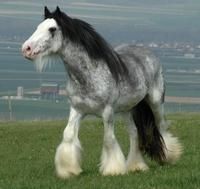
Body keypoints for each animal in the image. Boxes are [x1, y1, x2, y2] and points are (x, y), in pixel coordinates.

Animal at [21, 6, 182, 179]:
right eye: (38, 27)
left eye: (52, 29)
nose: (26, 49)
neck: (89, 76)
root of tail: (149, 53)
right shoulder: (77, 110)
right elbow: (68, 135)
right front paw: (69, 170)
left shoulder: (107, 112)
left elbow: (108, 139)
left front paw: (113, 170)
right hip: (127, 109)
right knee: (134, 133)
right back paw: (136, 166)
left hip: (156, 101)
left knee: (161, 125)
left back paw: (170, 156)